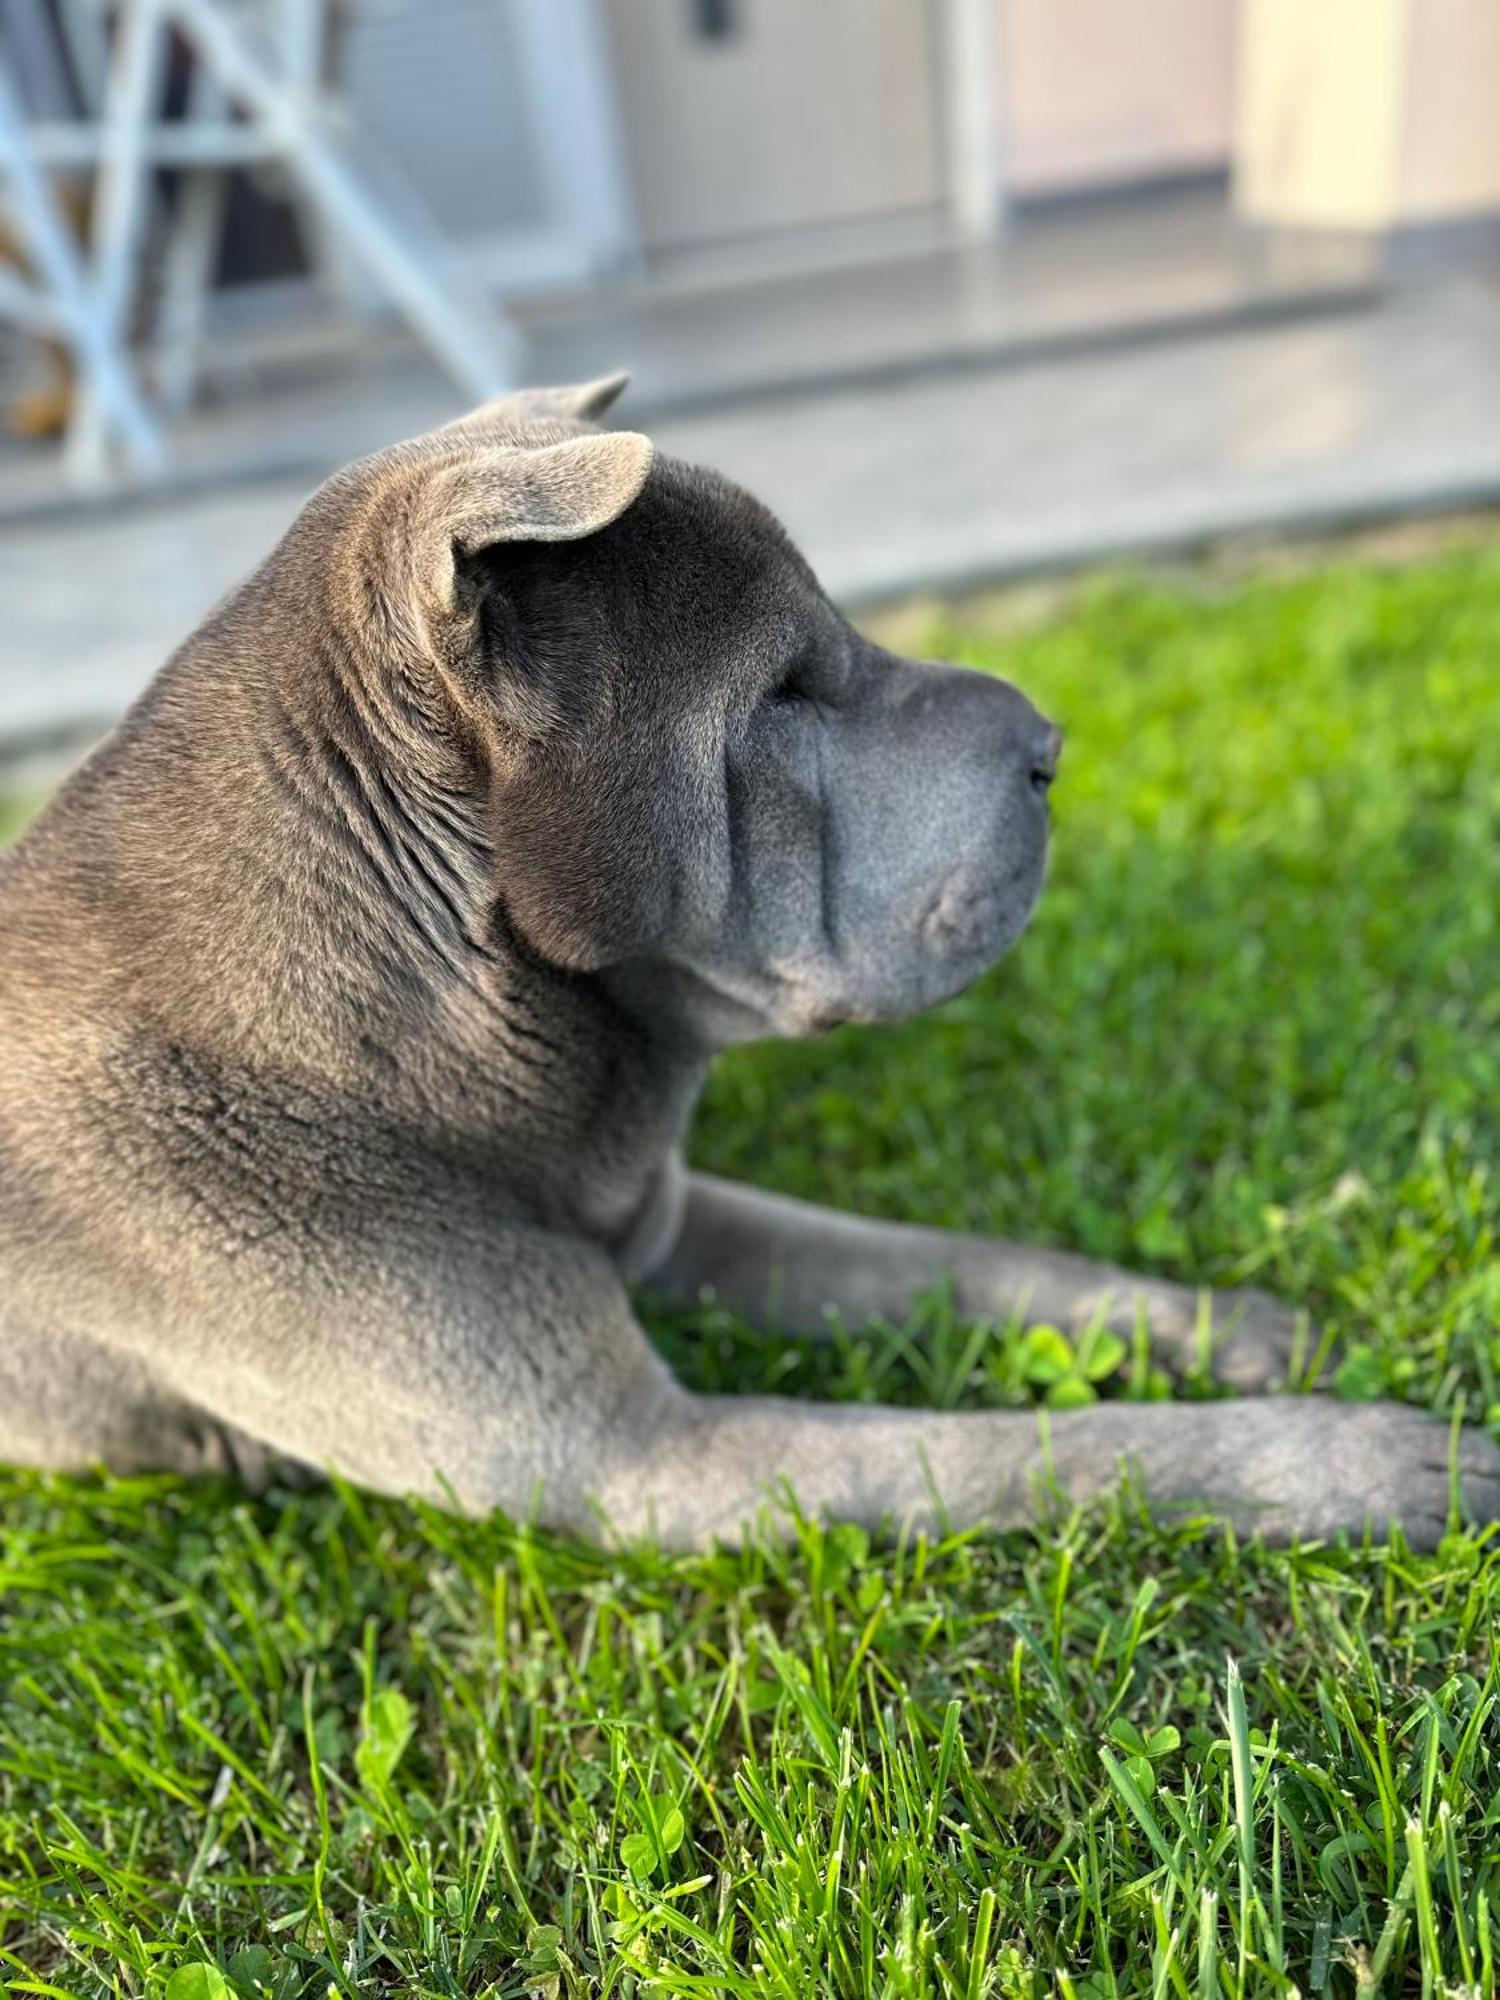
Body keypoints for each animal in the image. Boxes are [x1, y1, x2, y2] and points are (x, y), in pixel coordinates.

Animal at [2, 386, 1500, 1544]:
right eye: (781, 693)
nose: (1051, 745)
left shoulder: (677, 1215)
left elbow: (967, 1259)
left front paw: (1224, 1326)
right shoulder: (645, 1460)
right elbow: (1016, 1454)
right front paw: (1367, 1459)